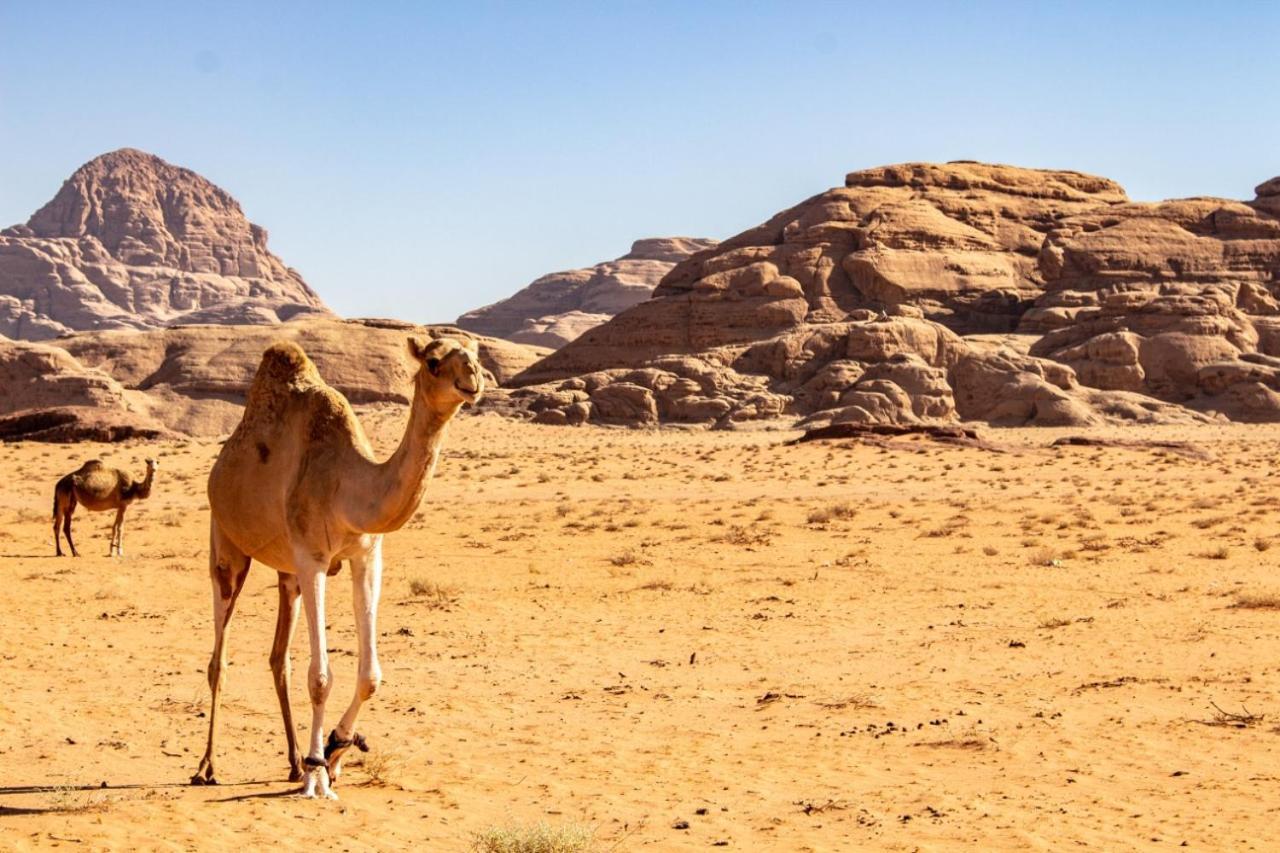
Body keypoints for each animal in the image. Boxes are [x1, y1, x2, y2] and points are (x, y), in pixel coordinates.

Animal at [190, 333, 483, 799]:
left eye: (476, 353)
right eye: (434, 361)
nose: (472, 379)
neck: (348, 485)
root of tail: (219, 468)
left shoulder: (366, 556)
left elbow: (370, 675)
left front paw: (335, 749)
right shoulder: (313, 558)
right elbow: (320, 676)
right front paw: (318, 777)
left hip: (286, 572)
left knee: (279, 659)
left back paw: (293, 762)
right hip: (226, 542)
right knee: (219, 658)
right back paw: (208, 766)